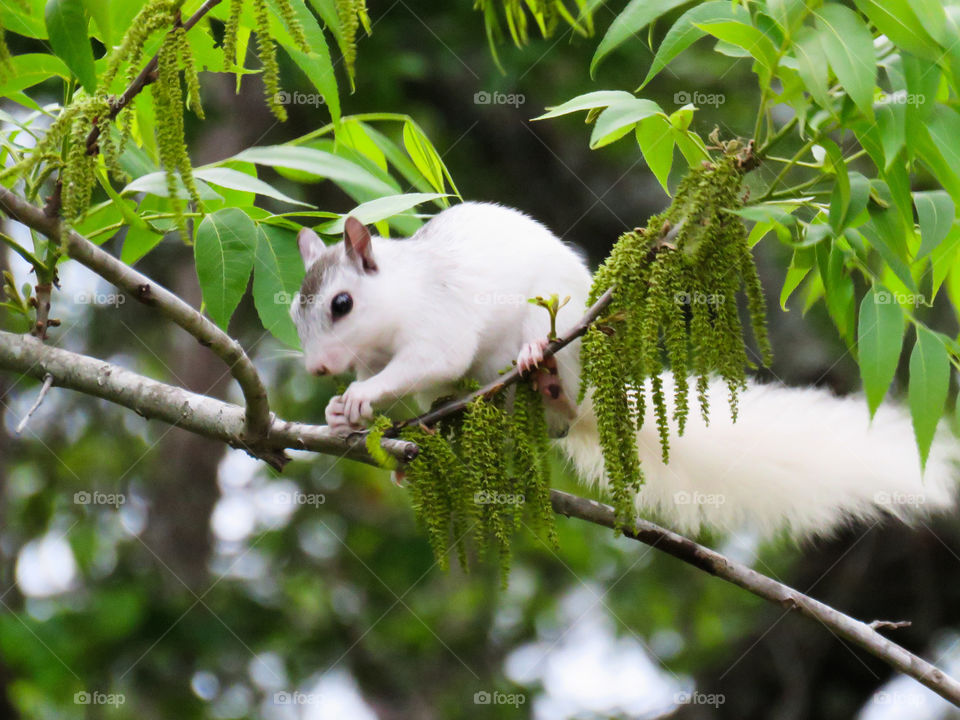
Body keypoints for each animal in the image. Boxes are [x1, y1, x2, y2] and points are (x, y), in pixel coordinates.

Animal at [290, 202, 960, 540]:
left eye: (341, 304)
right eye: (296, 315)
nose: (319, 367)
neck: (394, 307)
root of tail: (589, 394)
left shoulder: (438, 326)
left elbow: (430, 360)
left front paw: (359, 396)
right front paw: (341, 411)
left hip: (552, 324)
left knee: (548, 380)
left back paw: (538, 368)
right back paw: (430, 434)